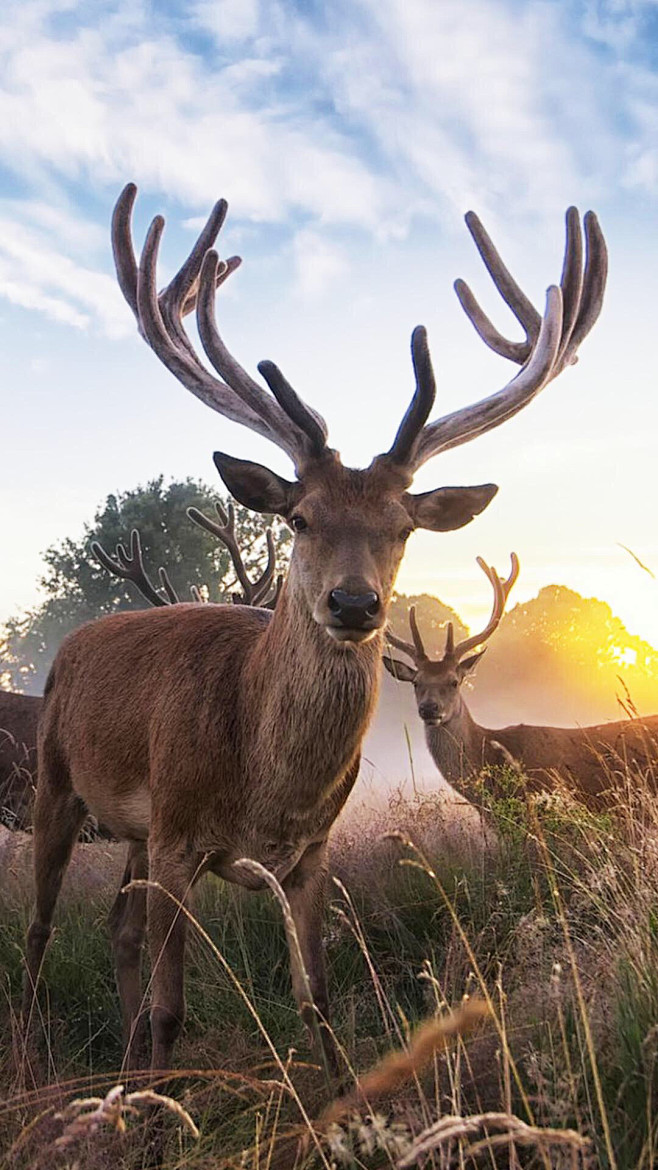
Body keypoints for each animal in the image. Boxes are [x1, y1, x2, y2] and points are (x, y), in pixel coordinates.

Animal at [23, 184, 608, 1076]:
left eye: (403, 527)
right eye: (298, 517)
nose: (355, 604)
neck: (265, 786)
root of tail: (77, 643)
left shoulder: (310, 855)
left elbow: (319, 1002)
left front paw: (331, 1096)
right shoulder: (179, 832)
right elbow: (172, 1007)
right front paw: (163, 1088)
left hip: (131, 832)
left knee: (117, 928)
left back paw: (124, 1066)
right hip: (57, 784)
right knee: (39, 929)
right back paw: (42, 1052)